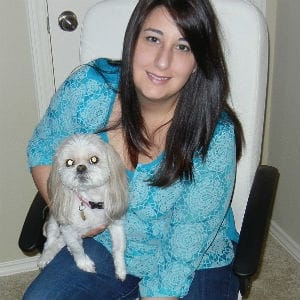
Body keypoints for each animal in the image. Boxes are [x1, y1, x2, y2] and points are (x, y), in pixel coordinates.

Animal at [37, 135, 127, 280]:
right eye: (69, 162)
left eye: (94, 159)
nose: (80, 168)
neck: (91, 202)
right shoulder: (67, 228)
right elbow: (77, 248)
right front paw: (84, 264)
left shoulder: (116, 223)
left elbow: (119, 247)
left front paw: (121, 269)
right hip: (54, 220)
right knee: (50, 240)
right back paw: (46, 256)